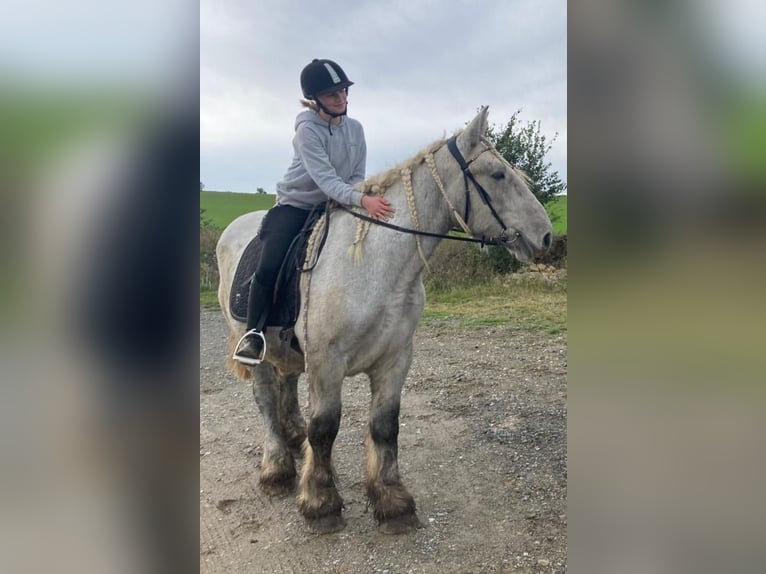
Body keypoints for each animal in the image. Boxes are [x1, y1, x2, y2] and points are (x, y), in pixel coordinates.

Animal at [219, 107, 556, 536]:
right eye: (498, 174)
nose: (546, 236)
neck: (375, 265)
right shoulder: (327, 363)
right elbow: (324, 428)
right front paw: (320, 503)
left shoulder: (395, 358)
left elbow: (385, 425)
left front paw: (393, 502)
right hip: (251, 344)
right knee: (265, 399)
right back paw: (277, 469)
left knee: (287, 383)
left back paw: (294, 441)